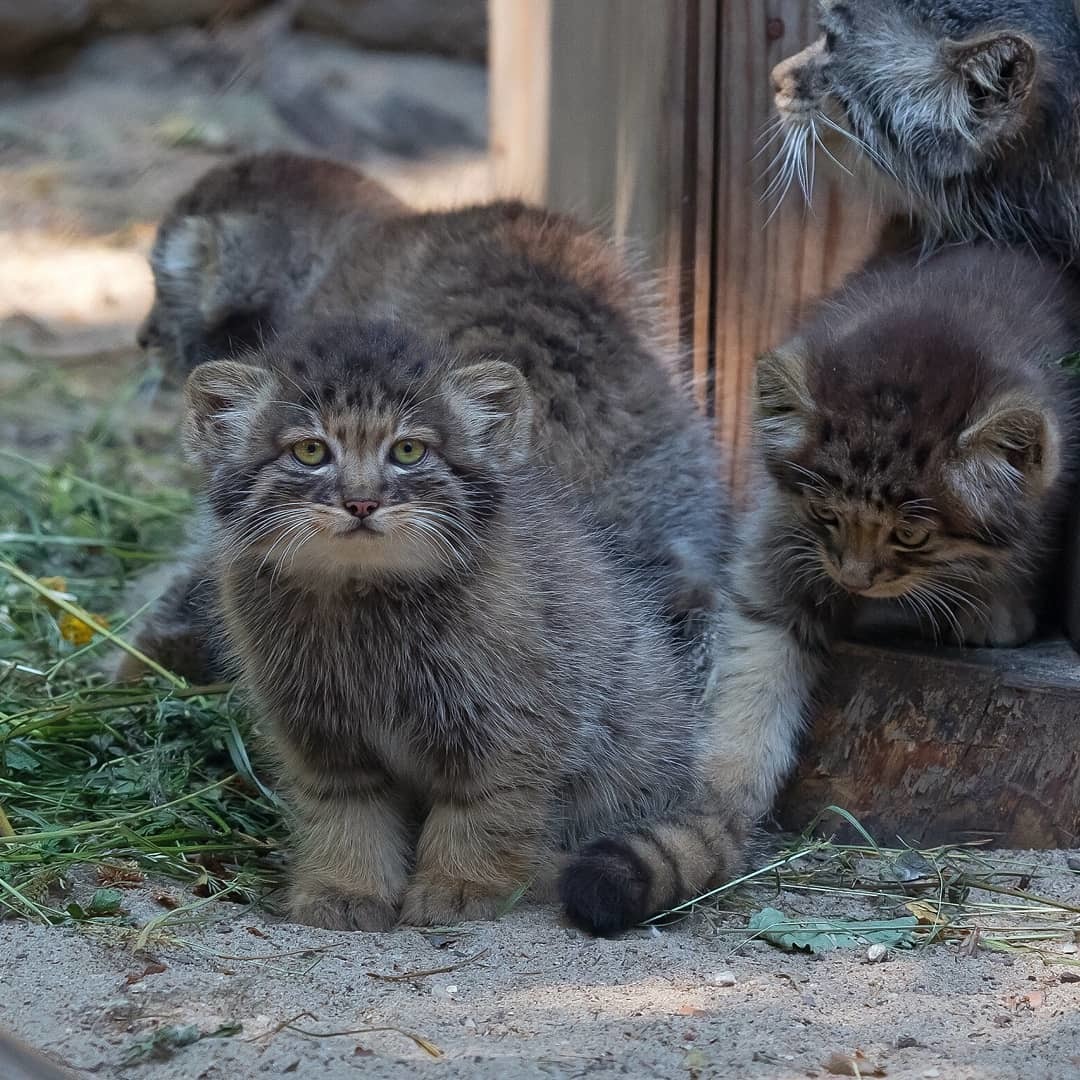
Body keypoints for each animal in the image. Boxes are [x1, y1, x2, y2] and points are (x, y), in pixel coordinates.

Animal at [708, 245, 1080, 816]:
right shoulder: (783, 532)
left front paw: (995, 604)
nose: (854, 579)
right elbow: (757, 645)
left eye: (911, 535)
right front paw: (724, 785)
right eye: (826, 514)